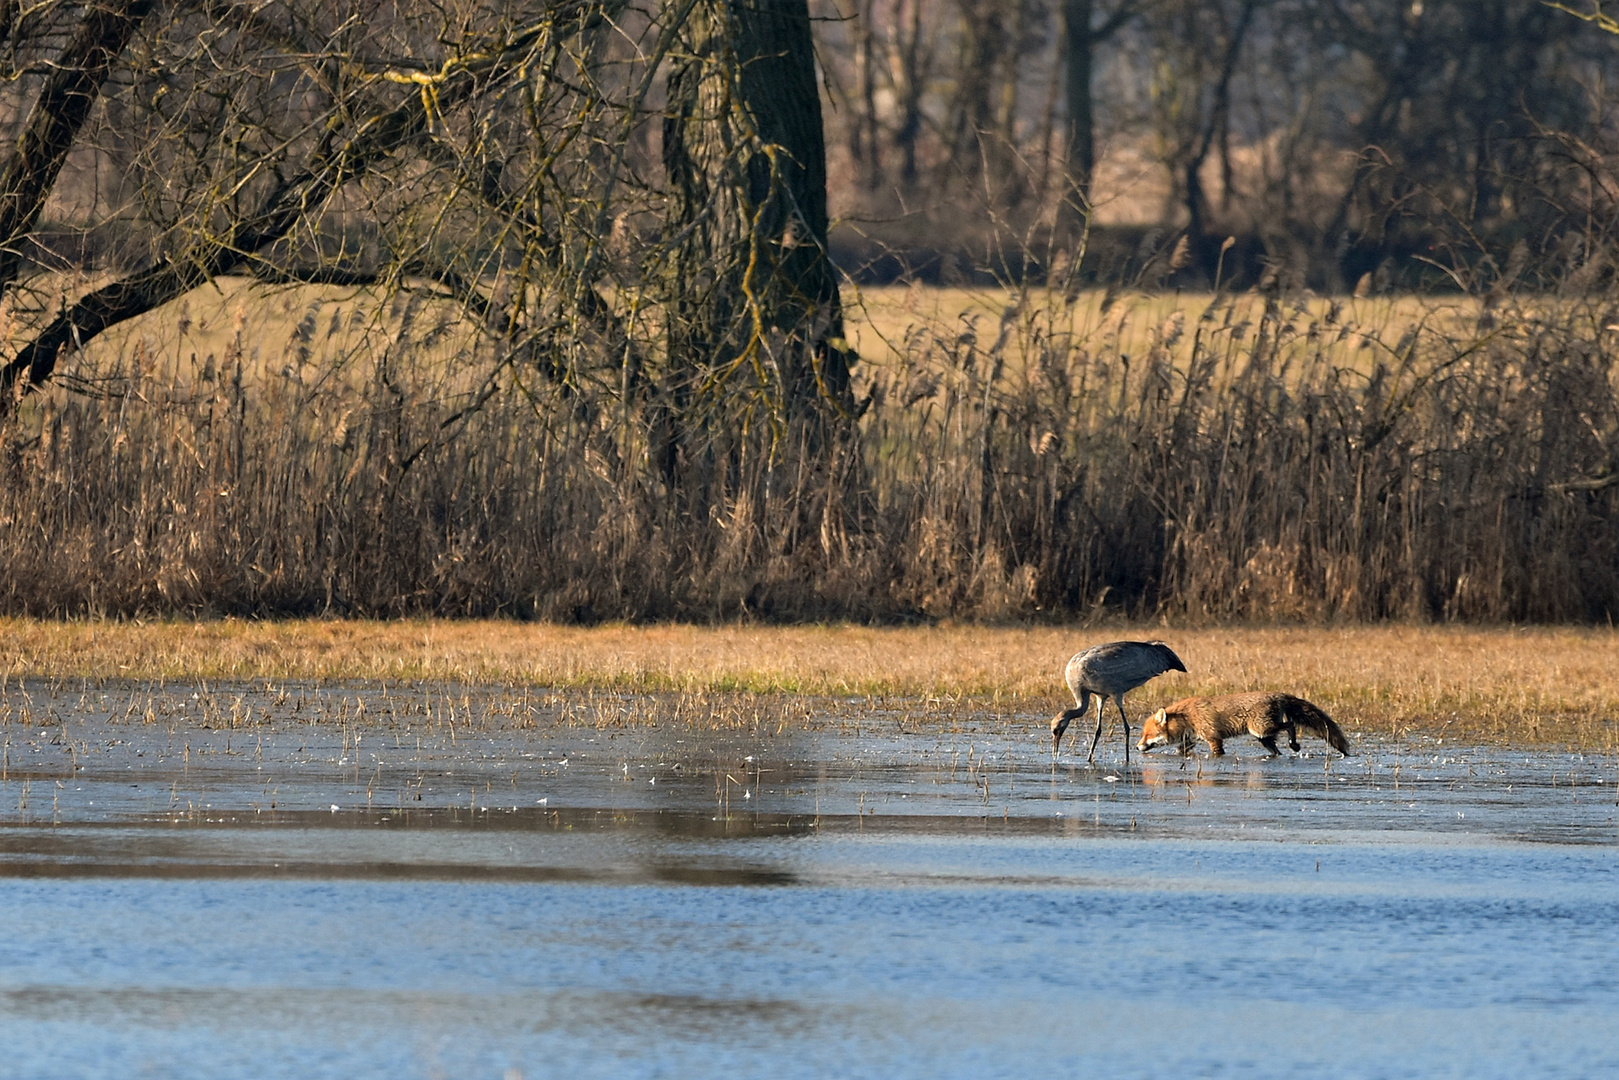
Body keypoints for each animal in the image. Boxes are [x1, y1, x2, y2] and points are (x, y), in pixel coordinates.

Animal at [1139, 696, 1353, 757]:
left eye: (1147, 735)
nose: (1137, 746)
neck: (1188, 718)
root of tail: (1278, 695)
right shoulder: (1191, 740)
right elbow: (1180, 750)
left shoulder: (1214, 738)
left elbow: (1218, 753)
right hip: (1264, 738)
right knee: (1277, 748)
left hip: (1261, 729)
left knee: (1290, 724)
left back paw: (1294, 744)